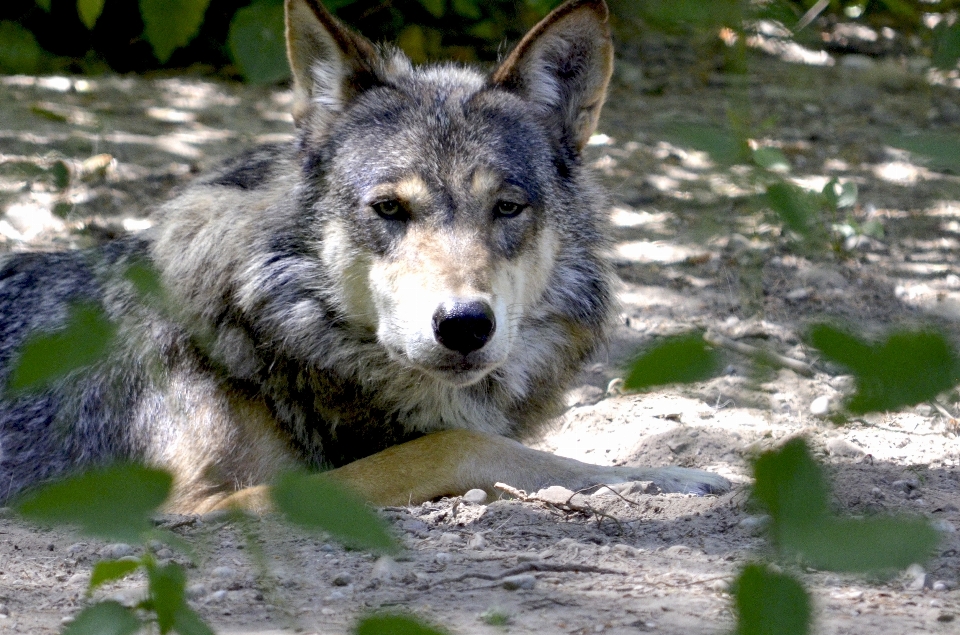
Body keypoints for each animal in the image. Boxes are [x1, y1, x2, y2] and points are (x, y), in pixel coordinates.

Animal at [0, 0, 728, 516]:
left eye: (506, 208)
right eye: (388, 209)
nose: (465, 325)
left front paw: (669, 473)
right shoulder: (189, 506)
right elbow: (457, 444)